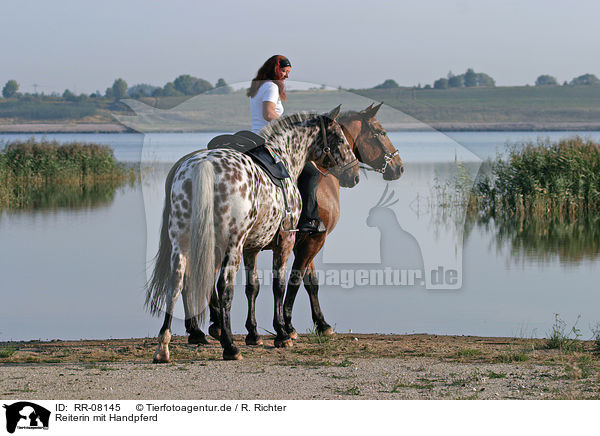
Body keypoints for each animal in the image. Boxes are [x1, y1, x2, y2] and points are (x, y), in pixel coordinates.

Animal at [147, 106, 358, 362]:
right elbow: (281, 285)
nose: (354, 174)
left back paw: (165, 346)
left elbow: (253, 287)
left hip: (183, 243)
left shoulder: (252, 248)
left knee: (177, 283)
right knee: (223, 288)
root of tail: (203, 166)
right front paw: (282, 333)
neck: (285, 157)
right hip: (230, 246)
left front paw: (254, 333)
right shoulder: (287, 241)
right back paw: (229, 346)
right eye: (339, 138)